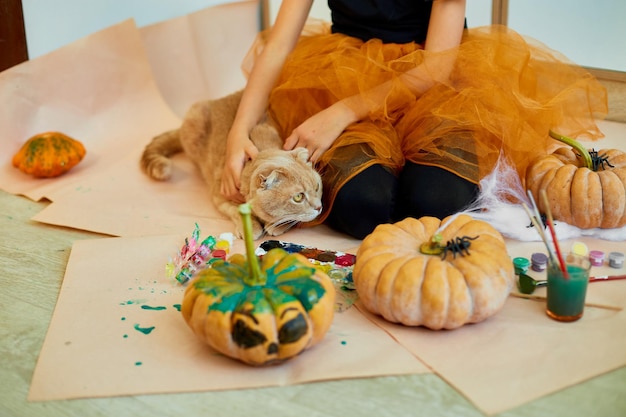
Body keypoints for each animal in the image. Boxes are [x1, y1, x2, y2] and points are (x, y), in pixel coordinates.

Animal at [141, 90, 322, 240]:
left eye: (317, 187)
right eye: (298, 197)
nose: (320, 207)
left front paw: (276, 226)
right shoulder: (219, 196)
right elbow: (236, 210)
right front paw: (253, 228)